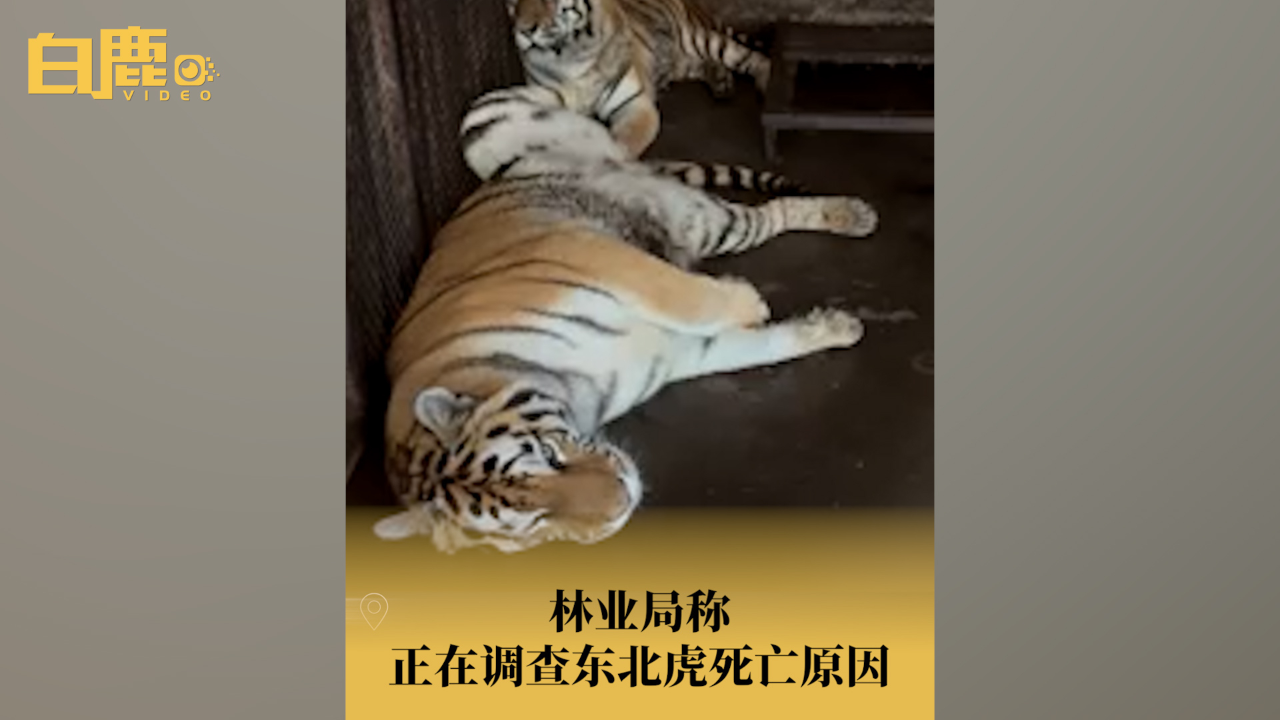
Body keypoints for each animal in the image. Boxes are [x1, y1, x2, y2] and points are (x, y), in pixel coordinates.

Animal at [374, 85, 877, 553]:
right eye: (533, 524)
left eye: (547, 453)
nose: (622, 499)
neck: (574, 391)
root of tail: (626, 170)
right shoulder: (680, 352)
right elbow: (760, 346)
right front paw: (835, 327)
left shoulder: (582, 251)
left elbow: (679, 293)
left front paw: (750, 303)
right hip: (708, 222)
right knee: (769, 216)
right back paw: (851, 215)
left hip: (487, 127)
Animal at [505, 0, 773, 159]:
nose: (524, 31)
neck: (568, 59)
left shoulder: (636, 106)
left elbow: (619, 146)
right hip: (680, 61)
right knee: (703, 63)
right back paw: (721, 84)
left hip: (699, 38)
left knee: (752, 58)